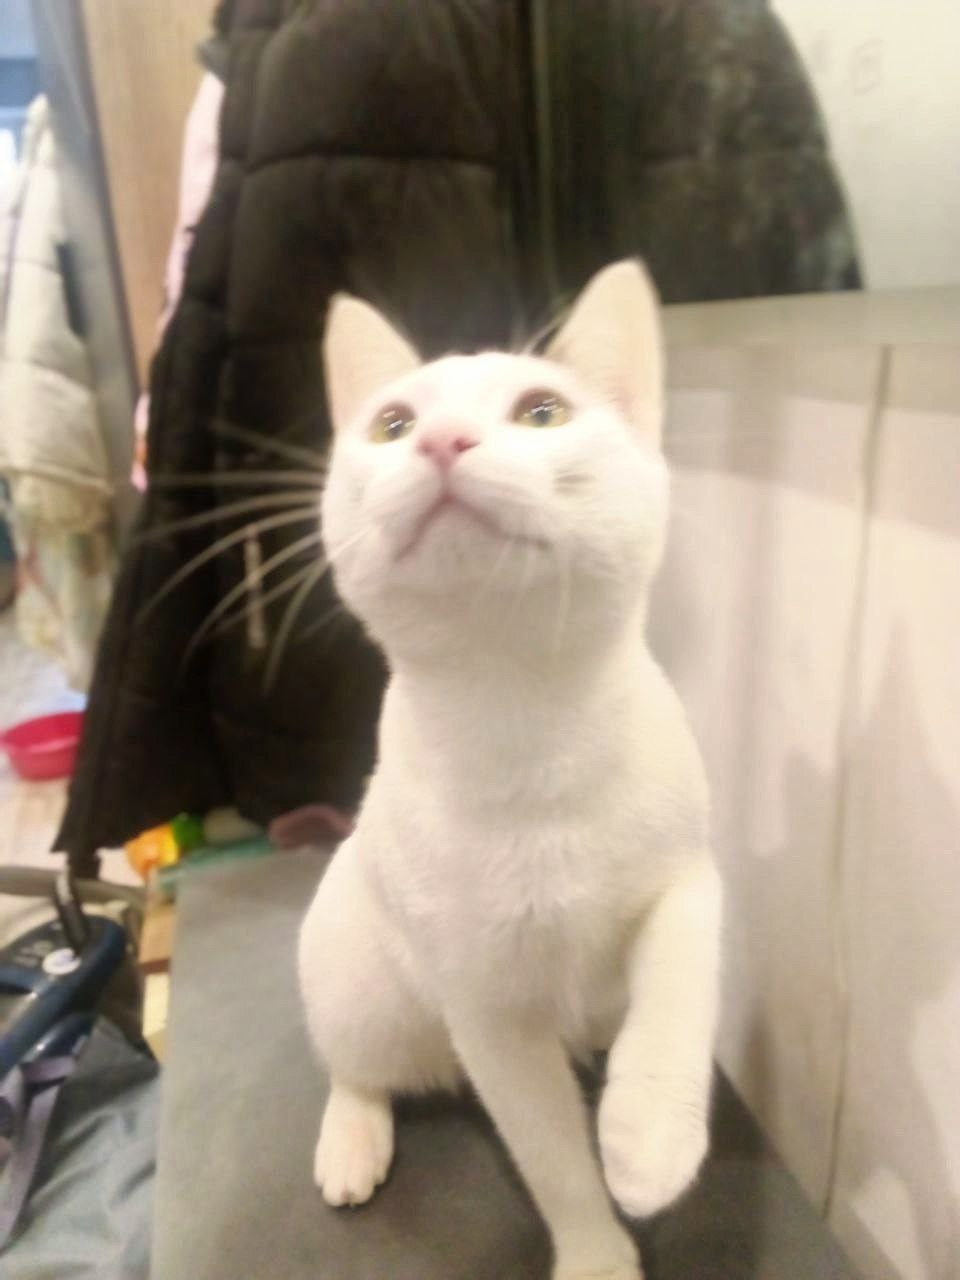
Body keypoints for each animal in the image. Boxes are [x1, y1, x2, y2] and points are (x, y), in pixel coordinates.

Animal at [298, 261, 722, 1280]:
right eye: (392, 424)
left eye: (542, 411)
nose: (443, 440)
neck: (528, 723)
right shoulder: (485, 1010)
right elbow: (550, 1154)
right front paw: (597, 1253)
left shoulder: (689, 871)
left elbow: (682, 964)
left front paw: (651, 1135)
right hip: (362, 978)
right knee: (355, 1059)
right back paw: (352, 1137)